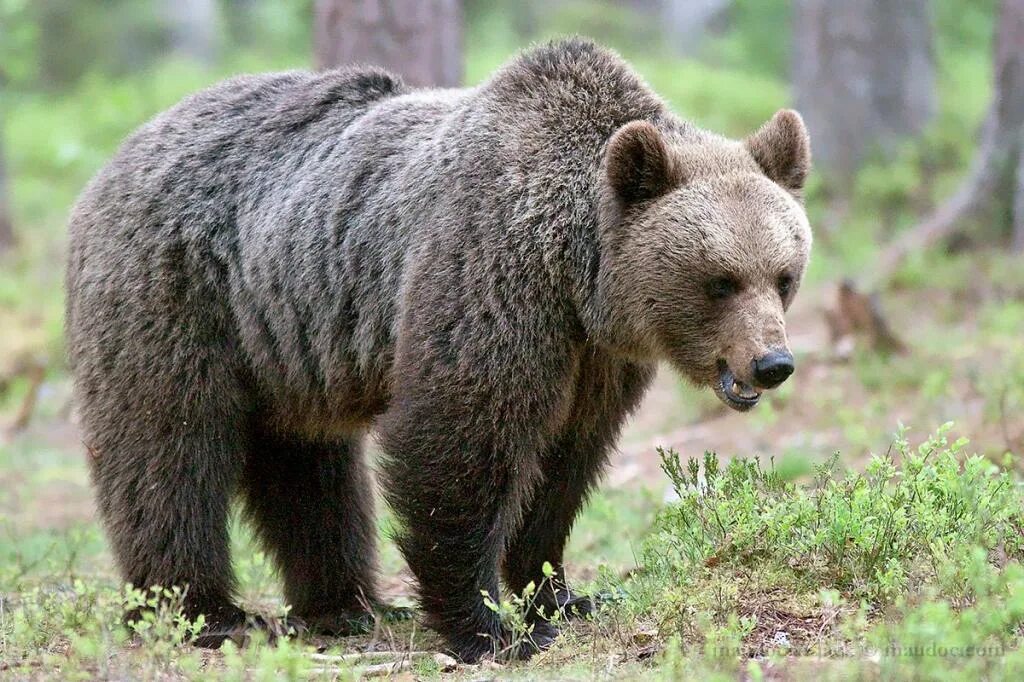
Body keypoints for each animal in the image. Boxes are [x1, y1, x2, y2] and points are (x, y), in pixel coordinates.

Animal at [68, 37, 811, 659]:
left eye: (783, 274)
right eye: (719, 280)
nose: (772, 363)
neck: (580, 276)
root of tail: (113, 158)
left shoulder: (596, 358)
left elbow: (564, 465)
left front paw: (564, 597)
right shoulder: (490, 275)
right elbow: (460, 438)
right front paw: (488, 629)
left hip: (284, 342)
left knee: (308, 471)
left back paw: (346, 605)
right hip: (175, 298)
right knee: (168, 454)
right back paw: (204, 614)